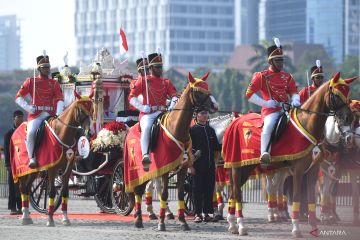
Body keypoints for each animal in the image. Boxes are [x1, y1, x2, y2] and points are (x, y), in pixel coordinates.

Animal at [13, 92, 93, 227]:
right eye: (81, 110)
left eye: (92, 109)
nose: (90, 133)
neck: (62, 134)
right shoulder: (52, 169)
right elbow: (51, 191)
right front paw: (50, 219)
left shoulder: (68, 169)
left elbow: (65, 191)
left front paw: (65, 218)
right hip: (23, 170)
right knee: (23, 188)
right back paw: (24, 216)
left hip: (34, 172)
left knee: (28, 188)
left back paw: (28, 216)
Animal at [125, 72, 218, 232]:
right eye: (198, 91)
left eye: (207, 87)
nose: (215, 105)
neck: (177, 129)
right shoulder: (164, 169)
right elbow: (164, 194)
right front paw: (161, 223)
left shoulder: (183, 168)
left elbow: (180, 193)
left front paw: (183, 222)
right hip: (138, 171)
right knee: (138, 191)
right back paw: (138, 219)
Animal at [224, 72, 356, 237]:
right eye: (336, 95)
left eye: (347, 94)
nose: (348, 118)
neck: (308, 125)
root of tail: (235, 121)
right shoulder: (298, 171)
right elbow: (297, 196)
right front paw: (296, 229)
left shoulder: (313, 170)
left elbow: (311, 198)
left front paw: (314, 227)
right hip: (239, 167)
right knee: (237, 192)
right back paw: (241, 226)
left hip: (246, 168)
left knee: (232, 192)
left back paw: (232, 225)